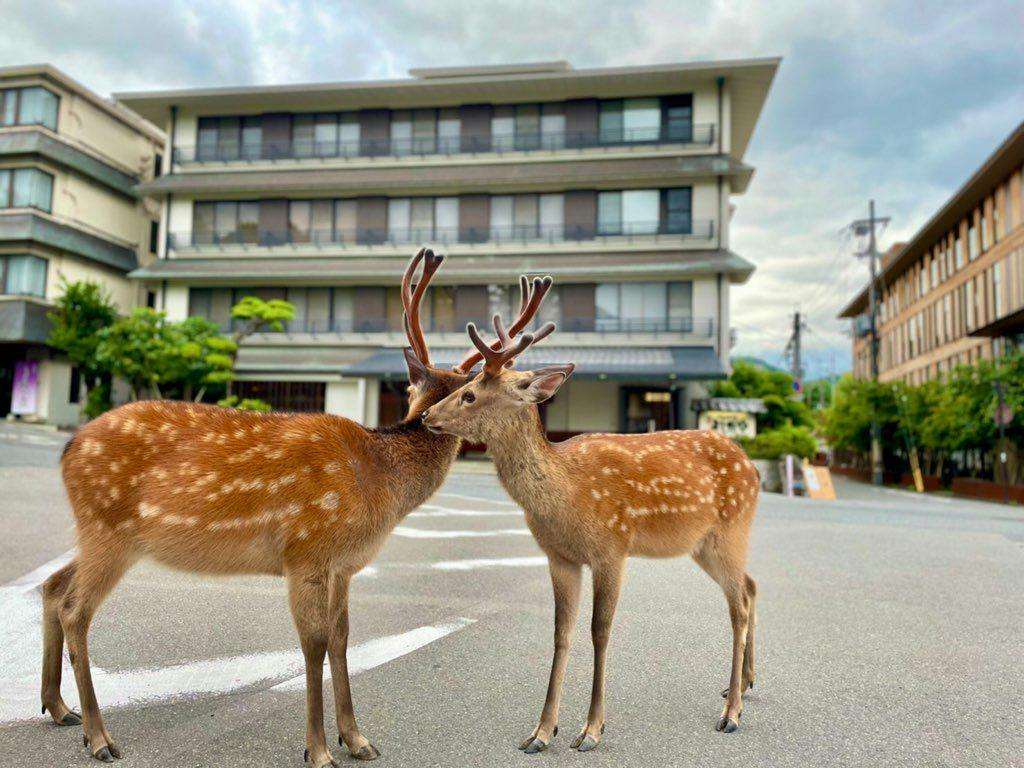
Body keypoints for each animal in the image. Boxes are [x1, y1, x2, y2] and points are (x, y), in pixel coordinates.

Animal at [39, 248, 517, 766]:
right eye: (466, 395)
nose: (433, 419)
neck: (378, 482)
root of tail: (67, 449)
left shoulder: (343, 565)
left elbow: (342, 638)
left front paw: (357, 739)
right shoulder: (305, 551)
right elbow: (314, 643)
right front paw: (319, 749)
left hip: (102, 534)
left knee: (52, 585)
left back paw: (58, 708)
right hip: (107, 528)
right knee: (75, 609)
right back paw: (99, 737)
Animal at [421, 281, 760, 753]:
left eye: (470, 394)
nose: (426, 415)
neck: (567, 495)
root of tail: (753, 468)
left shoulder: (612, 548)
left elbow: (601, 631)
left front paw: (591, 730)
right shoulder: (560, 557)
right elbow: (561, 633)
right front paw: (542, 732)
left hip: (731, 530)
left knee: (739, 605)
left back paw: (731, 714)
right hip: (704, 546)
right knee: (751, 587)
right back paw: (742, 685)